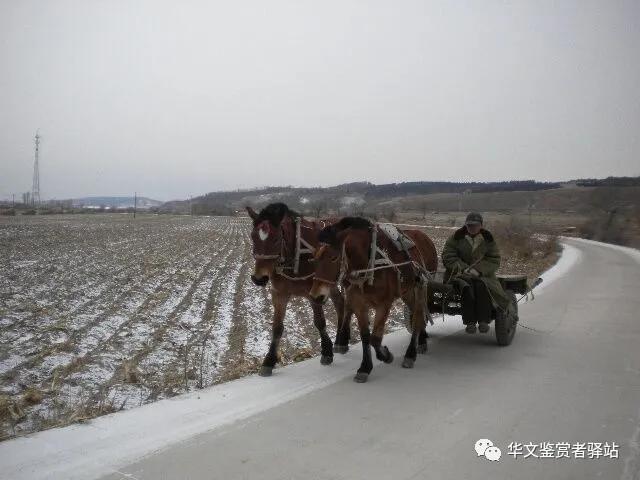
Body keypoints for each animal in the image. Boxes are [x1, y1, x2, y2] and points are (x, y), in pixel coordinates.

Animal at [246, 203, 352, 376]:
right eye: (252, 236)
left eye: (276, 239)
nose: (259, 278)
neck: (296, 253)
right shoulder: (279, 294)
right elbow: (277, 327)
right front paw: (269, 361)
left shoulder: (313, 293)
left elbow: (320, 322)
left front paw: (326, 351)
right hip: (329, 284)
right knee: (340, 304)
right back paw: (339, 340)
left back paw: (342, 340)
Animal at [309, 217, 438, 383]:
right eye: (315, 258)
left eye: (333, 257)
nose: (315, 296)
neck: (368, 264)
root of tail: (425, 237)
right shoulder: (359, 304)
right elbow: (365, 337)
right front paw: (365, 367)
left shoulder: (384, 304)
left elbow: (375, 339)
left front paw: (386, 355)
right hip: (407, 291)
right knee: (417, 314)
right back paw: (421, 341)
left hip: (422, 286)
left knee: (418, 316)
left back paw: (410, 354)